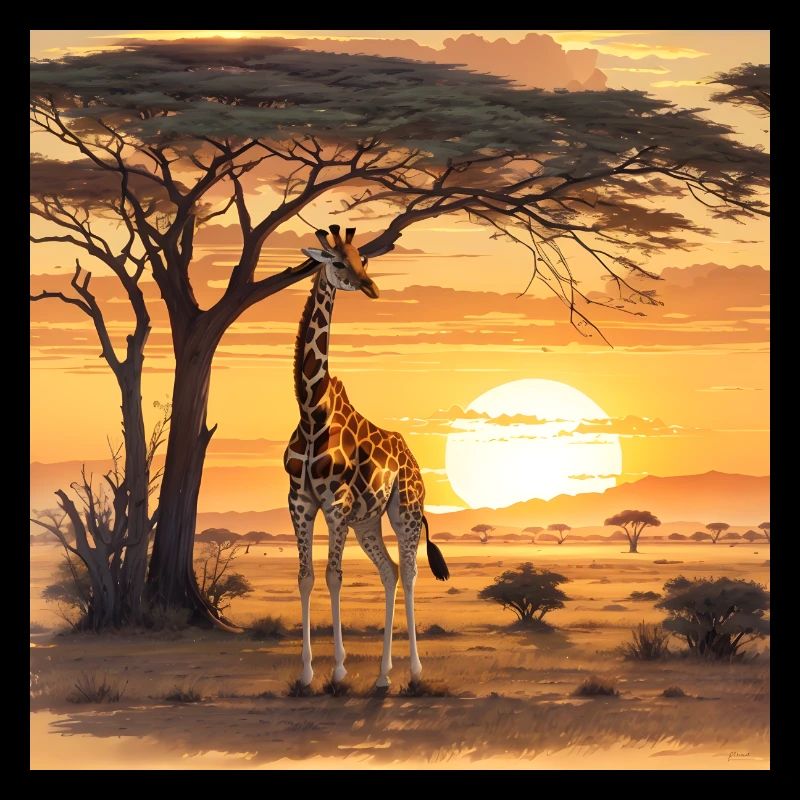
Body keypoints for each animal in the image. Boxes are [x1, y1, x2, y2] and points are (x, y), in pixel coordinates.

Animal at [283, 224, 449, 689]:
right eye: (339, 262)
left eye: (364, 260)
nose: (371, 287)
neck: (311, 411)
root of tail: (414, 462)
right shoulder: (300, 502)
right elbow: (306, 577)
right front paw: (306, 674)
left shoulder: (335, 503)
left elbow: (333, 575)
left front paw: (338, 670)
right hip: (368, 523)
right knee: (389, 571)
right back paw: (382, 675)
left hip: (405, 510)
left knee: (408, 573)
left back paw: (414, 671)